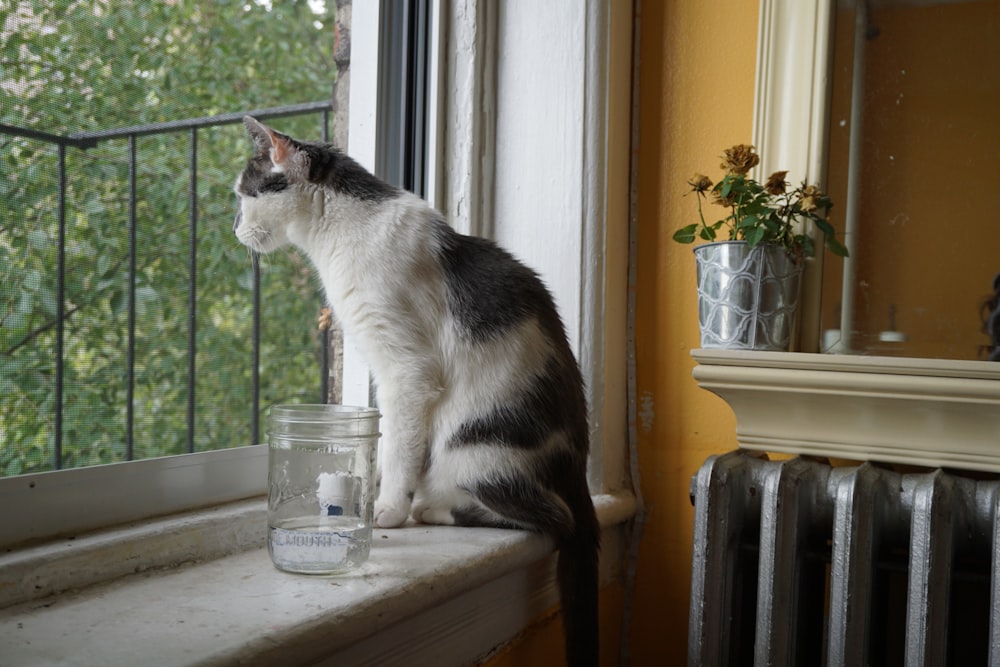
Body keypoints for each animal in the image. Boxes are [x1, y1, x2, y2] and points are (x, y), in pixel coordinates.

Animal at [232, 117, 600, 664]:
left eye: (244, 194)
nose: (236, 228)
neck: (339, 231)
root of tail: (579, 462)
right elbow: (387, 442)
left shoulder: (406, 369)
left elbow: (401, 442)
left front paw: (386, 507)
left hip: (474, 449)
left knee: (554, 517)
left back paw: (432, 507)